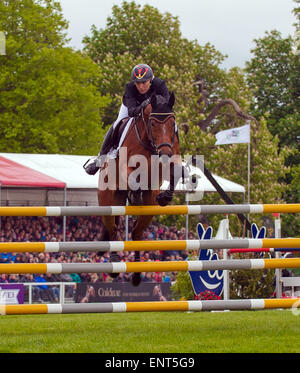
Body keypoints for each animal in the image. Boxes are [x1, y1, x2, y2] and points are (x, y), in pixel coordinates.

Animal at [98, 92, 182, 284]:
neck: (150, 143)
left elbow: (177, 171)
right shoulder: (126, 168)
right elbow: (132, 176)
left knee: (136, 233)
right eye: (153, 123)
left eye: (172, 123)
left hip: (148, 211)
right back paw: (115, 263)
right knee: (113, 229)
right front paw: (137, 192)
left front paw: (165, 197)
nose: (164, 154)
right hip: (107, 203)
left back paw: (136, 274)